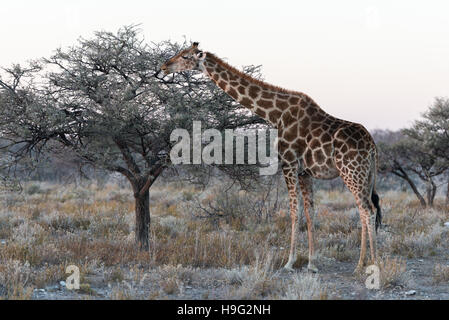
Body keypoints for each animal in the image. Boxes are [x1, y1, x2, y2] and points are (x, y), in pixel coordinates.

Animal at [159, 42, 380, 272]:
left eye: (185, 56)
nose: (163, 67)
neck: (277, 114)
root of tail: (372, 146)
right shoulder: (304, 172)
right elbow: (310, 212)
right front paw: (311, 263)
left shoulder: (289, 164)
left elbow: (294, 212)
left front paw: (289, 262)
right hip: (365, 175)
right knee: (363, 209)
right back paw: (360, 264)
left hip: (351, 171)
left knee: (368, 210)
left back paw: (372, 265)